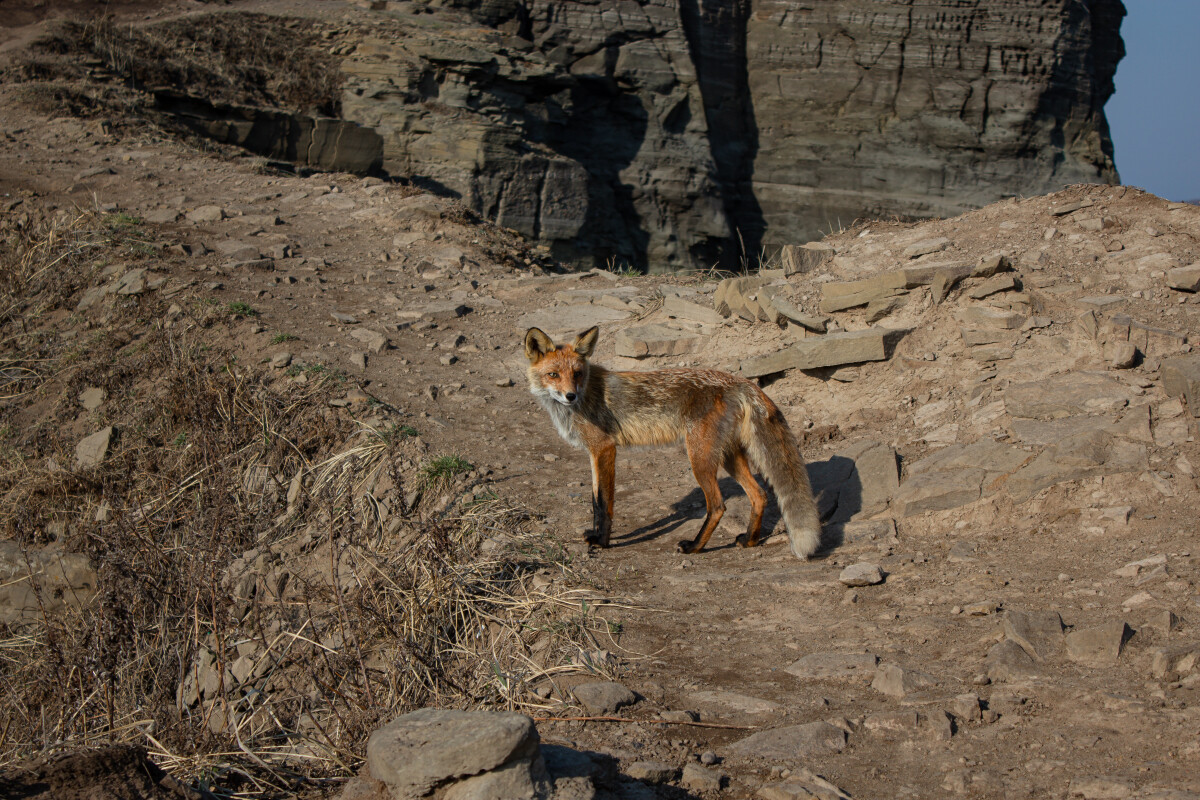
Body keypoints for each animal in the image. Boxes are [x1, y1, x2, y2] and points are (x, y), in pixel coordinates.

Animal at [528, 328, 825, 561]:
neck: (585, 396)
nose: (570, 396)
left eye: (577, 373)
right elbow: (594, 501)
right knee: (759, 495)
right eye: (553, 374)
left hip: (700, 458)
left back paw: (695, 547)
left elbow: (604, 503)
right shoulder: (593, 453)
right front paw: (595, 535)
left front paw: (602, 542)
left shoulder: (605, 448)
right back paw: (749, 540)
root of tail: (739, 381)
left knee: (718, 505)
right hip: (728, 456)